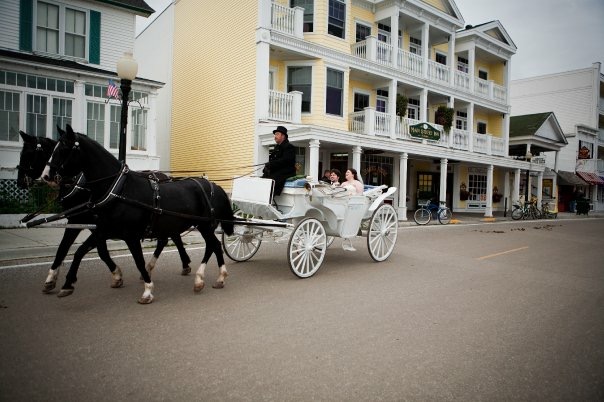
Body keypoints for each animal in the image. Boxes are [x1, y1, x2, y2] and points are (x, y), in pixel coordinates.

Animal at [17, 130, 191, 296]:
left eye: (28, 154)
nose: (19, 182)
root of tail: (165, 176)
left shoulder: (89, 223)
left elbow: (84, 250)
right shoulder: (87, 223)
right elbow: (66, 248)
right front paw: (52, 278)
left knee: (169, 238)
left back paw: (175, 265)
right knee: (170, 238)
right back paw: (173, 265)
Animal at [42, 126, 235, 304]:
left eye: (63, 148)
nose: (46, 176)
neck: (119, 190)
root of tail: (215, 186)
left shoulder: (130, 235)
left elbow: (138, 261)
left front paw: (147, 290)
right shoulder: (103, 229)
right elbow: (78, 251)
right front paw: (66, 283)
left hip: (205, 225)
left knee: (213, 245)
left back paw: (206, 278)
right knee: (211, 245)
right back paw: (211, 277)